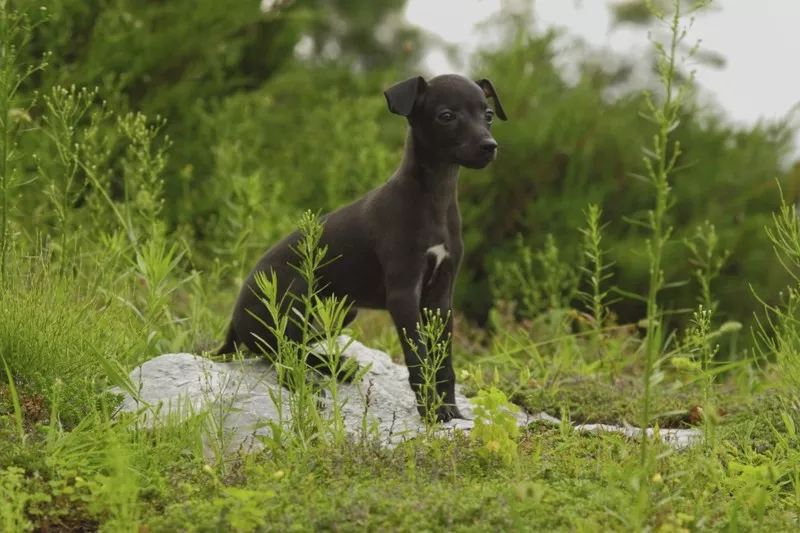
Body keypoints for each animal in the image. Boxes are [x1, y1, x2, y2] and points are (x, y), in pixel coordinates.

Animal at [216, 72, 506, 420]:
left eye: (488, 115)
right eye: (446, 116)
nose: (489, 147)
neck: (434, 199)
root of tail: (234, 322)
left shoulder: (440, 297)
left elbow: (443, 362)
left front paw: (450, 409)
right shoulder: (403, 294)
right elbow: (418, 359)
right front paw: (431, 412)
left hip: (342, 312)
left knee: (286, 349)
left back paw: (337, 367)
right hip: (294, 297)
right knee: (281, 357)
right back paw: (313, 381)